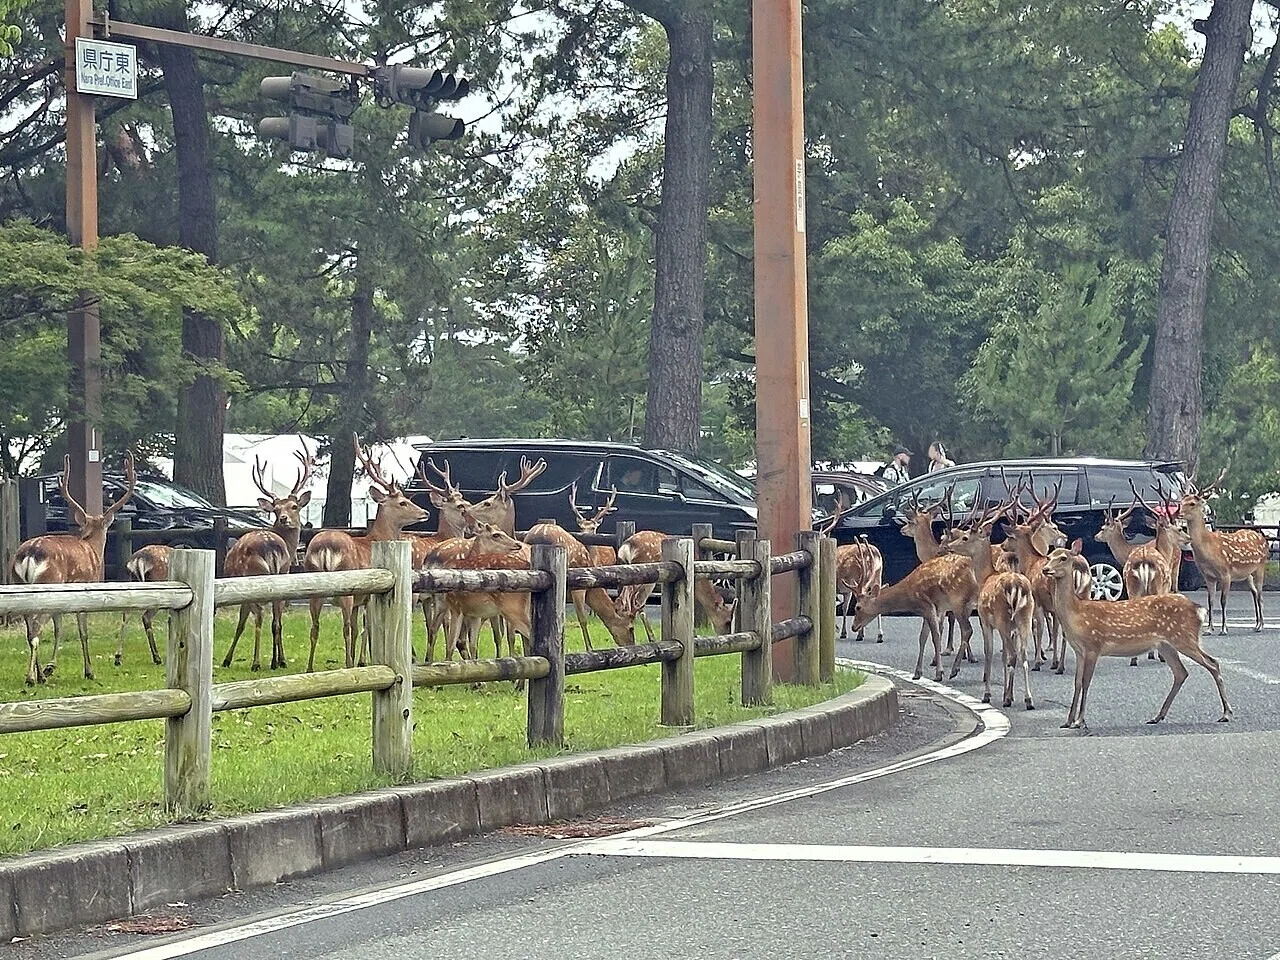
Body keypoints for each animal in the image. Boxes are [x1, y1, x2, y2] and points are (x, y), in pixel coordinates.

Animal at [10, 453, 136, 685]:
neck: (92, 549)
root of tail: (30, 553)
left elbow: (59, 630)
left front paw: (50, 668)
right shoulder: (85, 590)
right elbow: (83, 631)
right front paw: (89, 671)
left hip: (19, 584)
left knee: (30, 629)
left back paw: (39, 675)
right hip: (49, 584)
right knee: (36, 627)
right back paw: (31, 677)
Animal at [220, 449, 314, 671]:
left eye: (294, 506)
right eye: (276, 509)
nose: (283, 518)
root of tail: (270, 546)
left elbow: (240, 624)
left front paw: (227, 659)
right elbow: (277, 621)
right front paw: (279, 660)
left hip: (254, 577)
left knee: (260, 616)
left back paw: (256, 662)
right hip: (281, 574)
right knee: (276, 620)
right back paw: (277, 661)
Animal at [303, 437, 429, 672]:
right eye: (403, 502)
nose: (424, 512)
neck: (376, 538)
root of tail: (324, 547)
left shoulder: (360, 600)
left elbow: (357, 628)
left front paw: (361, 659)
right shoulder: (369, 596)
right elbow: (365, 627)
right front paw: (362, 660)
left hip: (314, 588)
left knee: (315, 627)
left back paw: (310, 668)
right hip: (346, 588)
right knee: (344, 627)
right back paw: (347, 665)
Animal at [1043, 540, 1232, 730]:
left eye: (1063, 558)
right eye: (1049, 556)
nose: (1045, 569)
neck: (1077, 614)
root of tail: (1199, 610)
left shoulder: (1093, 646)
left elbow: (1086, 682)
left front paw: (1080, 721)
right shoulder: (1080, 650)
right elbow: (1077, 683)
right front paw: (1068, 721)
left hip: (1184, 637)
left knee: (1213, 663)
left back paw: (1226, 713)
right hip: (1166, 644)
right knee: (1181, 673)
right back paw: (1158, 716)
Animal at [1178, 468, 1267, 634]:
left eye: (1192, 503)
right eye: (1181, 502)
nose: (1178, 513)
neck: (1208, 550)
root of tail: (1262, 537)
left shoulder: (1226, 574)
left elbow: (1223, 600)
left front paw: (1224, 628)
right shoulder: (1208, 576)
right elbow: (1210, 601)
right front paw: (1209, 629)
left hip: (1261, 566)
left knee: (1260, 594)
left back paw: (1261, 625)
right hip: (1247, 573)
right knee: (1254, 593)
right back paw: (1256, 624)